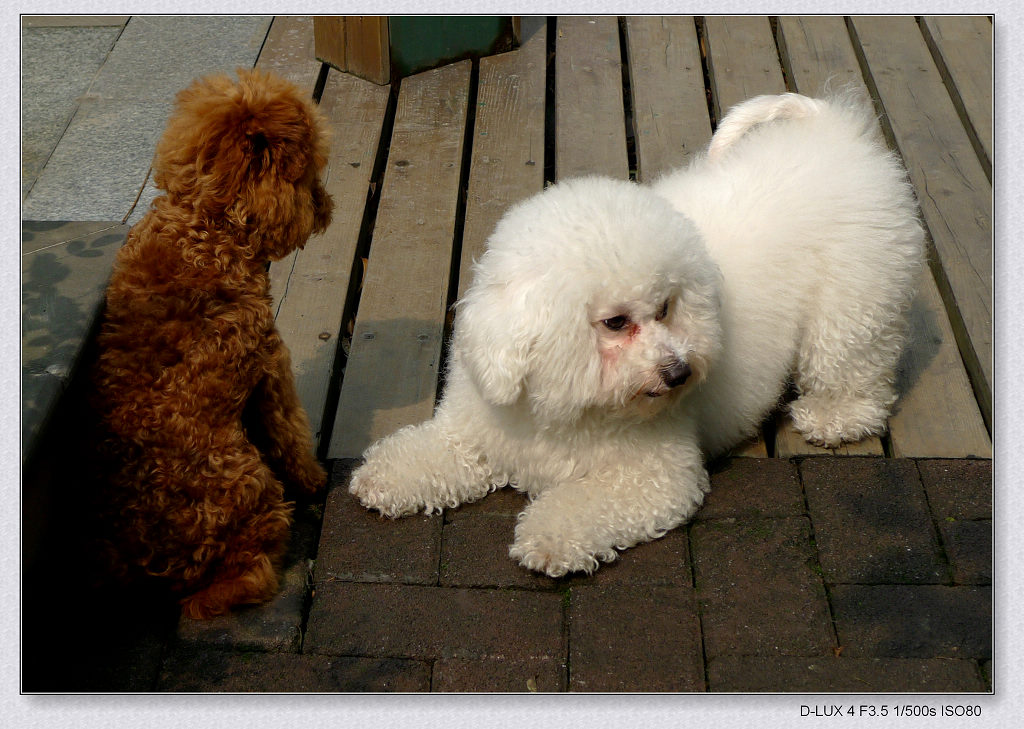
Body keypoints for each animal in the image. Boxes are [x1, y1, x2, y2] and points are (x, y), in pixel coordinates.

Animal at [91, 68, 331, 618]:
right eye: (308, 174)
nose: (326, 208)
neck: (208, 225)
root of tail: (164, 574)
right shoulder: (271, 365)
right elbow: (291, 435)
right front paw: (315, 479)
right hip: (248, 479)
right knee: (242, 573)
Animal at [348, 91, 925, 573]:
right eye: (616, 322)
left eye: (666, 307)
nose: (679, 372)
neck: (560, 408)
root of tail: (834, 131)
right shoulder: (473, 436)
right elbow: (433, 454)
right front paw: (385, 476)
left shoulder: (654, 478)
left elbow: (581, 506)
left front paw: (548, 539)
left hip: (854, 305)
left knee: (856, 368)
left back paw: (835, 417)